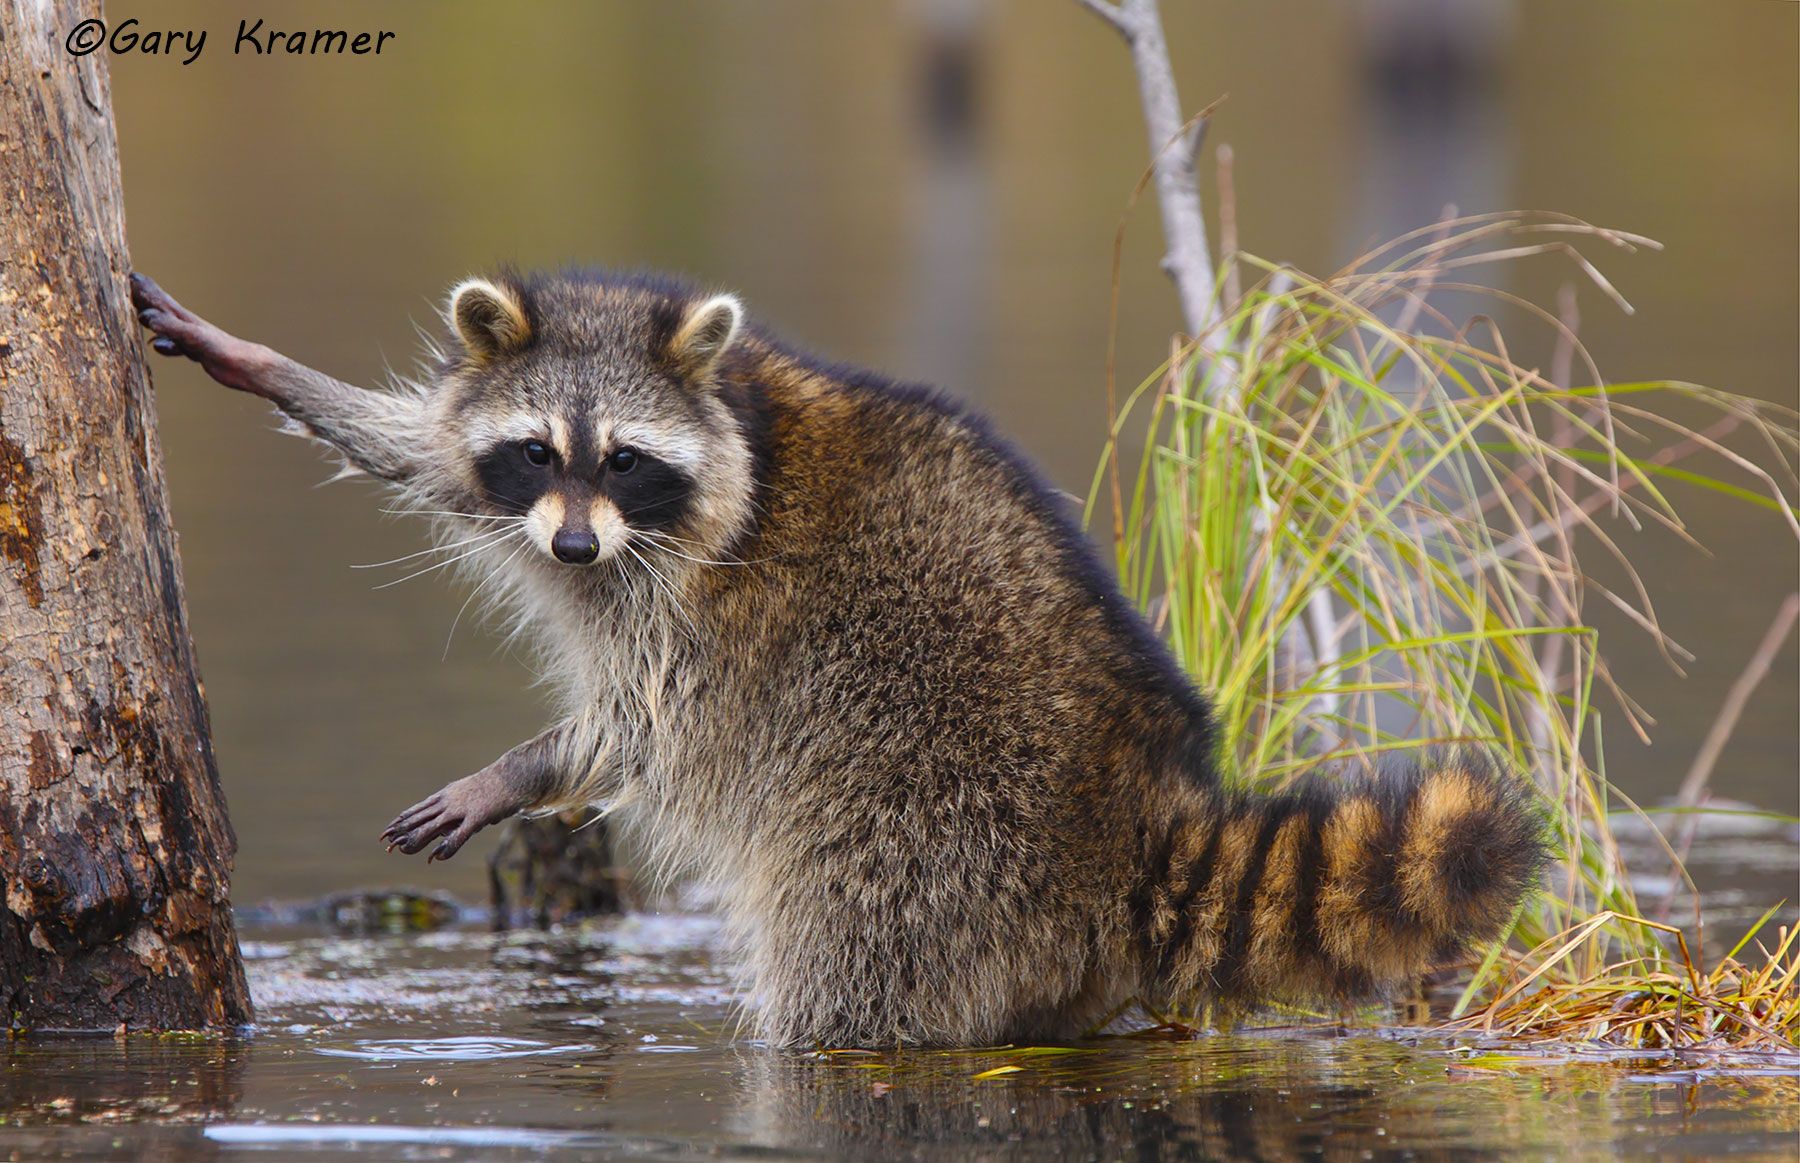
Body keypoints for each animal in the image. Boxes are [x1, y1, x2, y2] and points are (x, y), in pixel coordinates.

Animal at [131, 269, 1545, 1048]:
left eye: (625, 461)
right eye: (537, 450)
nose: (576, 542)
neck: (730, 414)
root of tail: (1136, 798)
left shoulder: (710, 611)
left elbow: (646, 723)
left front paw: (520, 769)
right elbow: (418, 446)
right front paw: (262, 367)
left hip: (924, 837)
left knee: (844, 985)